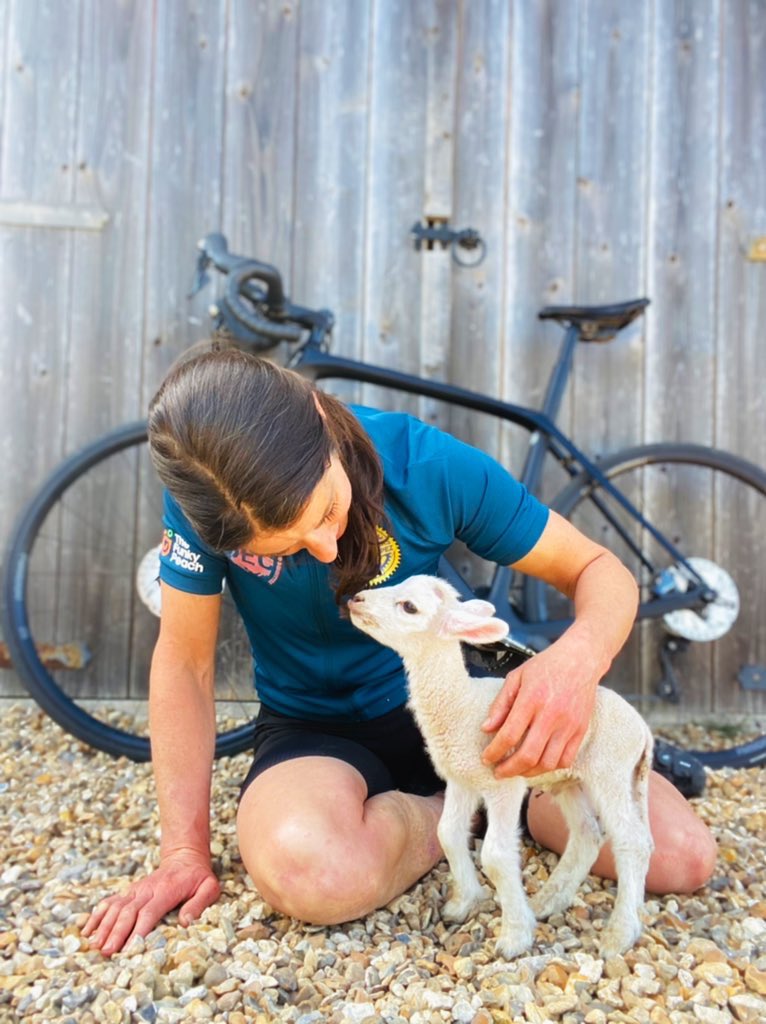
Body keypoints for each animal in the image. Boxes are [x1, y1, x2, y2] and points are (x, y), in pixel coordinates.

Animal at [346, 577, 651, 958]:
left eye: (409, 607)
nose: (355, 600)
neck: (460, 703)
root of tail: (644, 731)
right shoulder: (460, 778)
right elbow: (447, 833)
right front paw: (465, 902)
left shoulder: (503, 784)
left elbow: (495, 854)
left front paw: (514, 936)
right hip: (568, 780)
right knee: (587, 835)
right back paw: (548, 902)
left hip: (611, 770)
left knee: (631, 842)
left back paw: (618, 934)